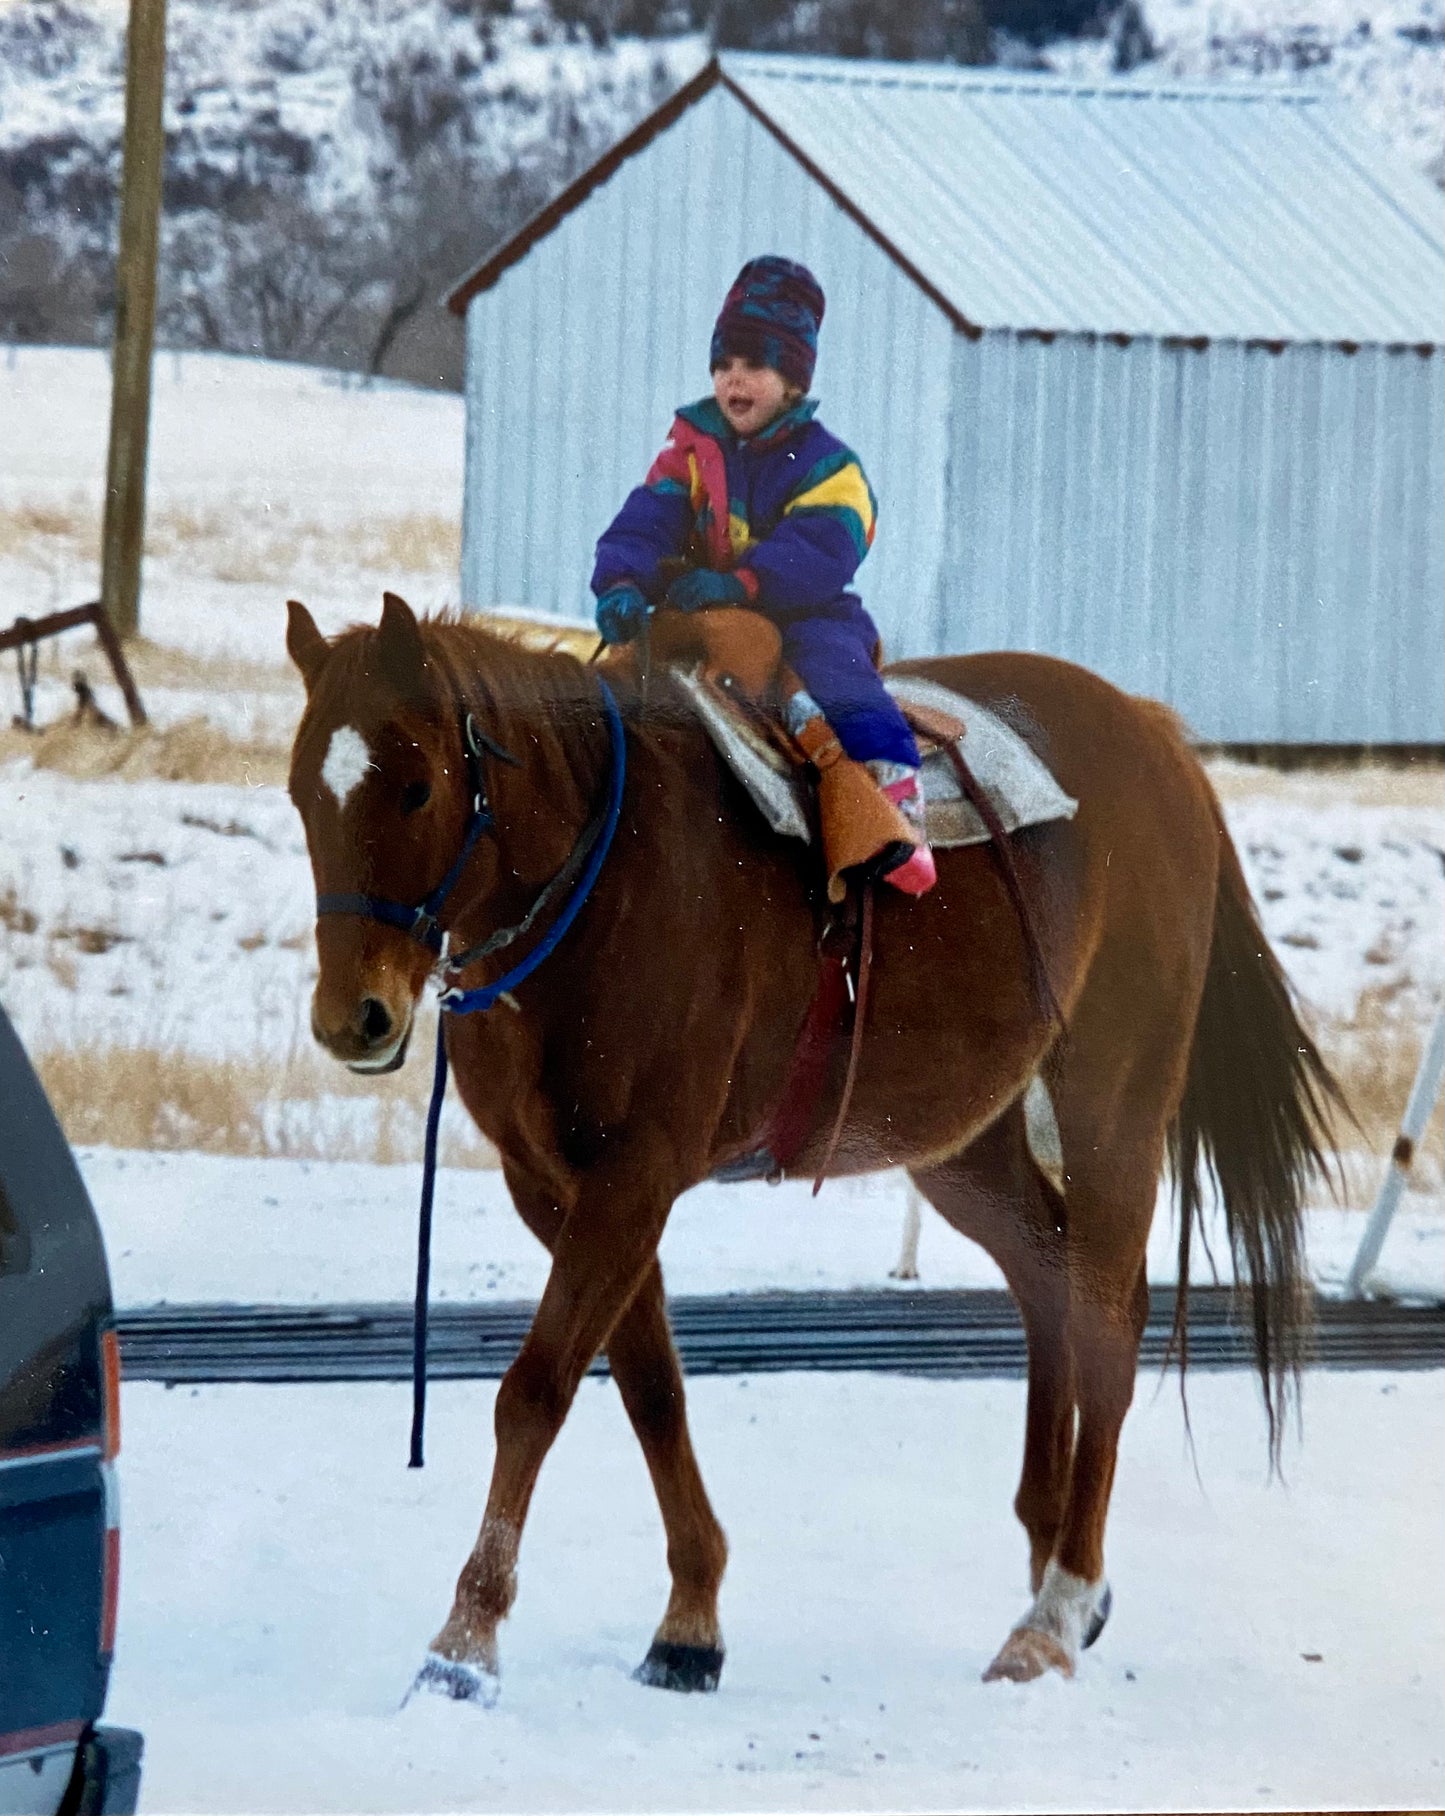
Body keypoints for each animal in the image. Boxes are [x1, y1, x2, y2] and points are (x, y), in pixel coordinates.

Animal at [288, 595, 1336, 1699]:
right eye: (303, 790)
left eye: (415, 786)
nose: (353, 1018)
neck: (607, 873)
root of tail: (1154, 736)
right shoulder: (560, 1190)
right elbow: (651, 1388)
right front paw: (690, 1622)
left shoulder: (633, 1179)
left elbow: (536, 1388)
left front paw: (464, 1643)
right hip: (961, 1143)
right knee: (1047, 1277)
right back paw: (1054, 1565)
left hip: (1110, 1109)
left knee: (1103, 1318)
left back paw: (1052, 1610)